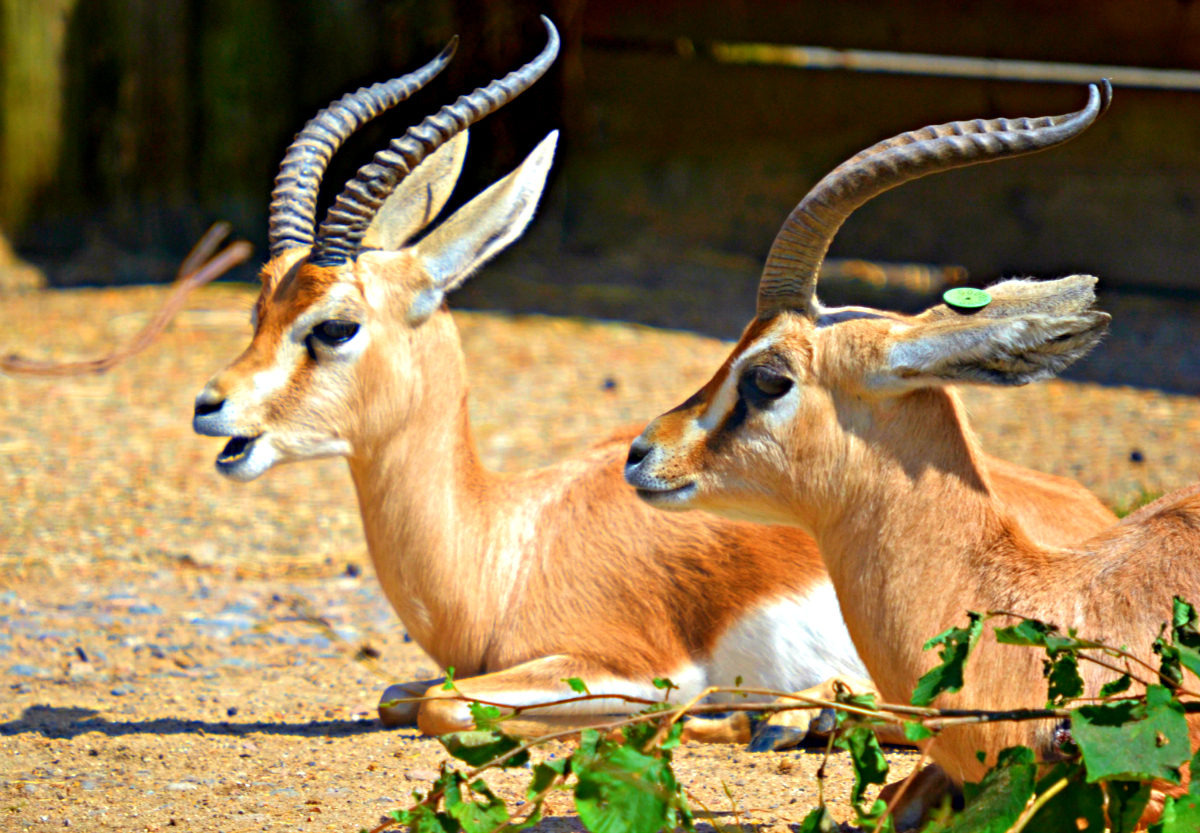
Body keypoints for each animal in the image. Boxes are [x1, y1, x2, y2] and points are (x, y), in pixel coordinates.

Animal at [192, 18, 1115, 744]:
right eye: (260, 301)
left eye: (335, 325)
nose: (212, 406)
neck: (503, 552)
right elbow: (398, 693)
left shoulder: (623, 663)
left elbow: (441, 705)